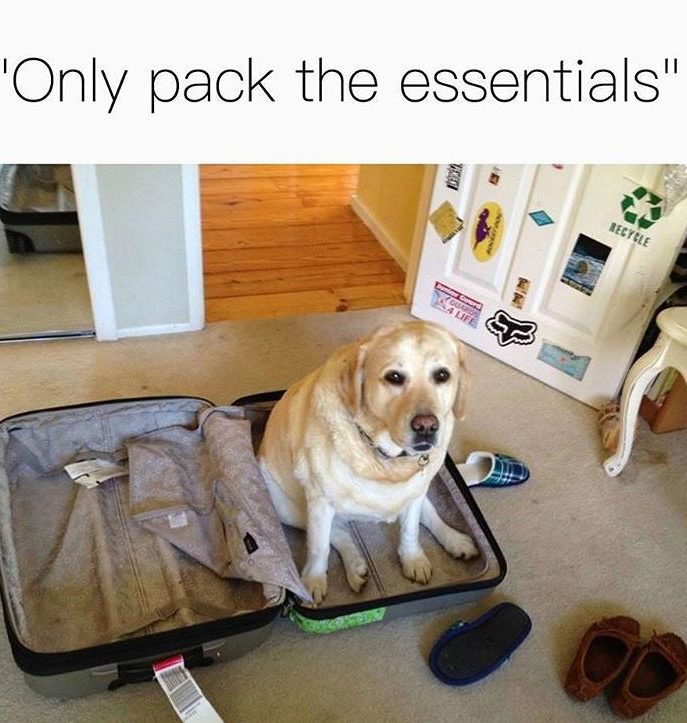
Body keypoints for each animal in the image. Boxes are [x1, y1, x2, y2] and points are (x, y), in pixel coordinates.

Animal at [258, 320, 479, 604]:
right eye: (394, 377)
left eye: (442, 375)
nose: (427, 426)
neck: (384, 455)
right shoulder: (319, 501)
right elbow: (318, 546)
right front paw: (314, 580)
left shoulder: (415, 492)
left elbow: (410, 530)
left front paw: (413, 559)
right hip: (285, 506)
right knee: (337, 532)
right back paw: (355, 566)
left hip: (419, 491)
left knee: (429, 515)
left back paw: (455, 540)